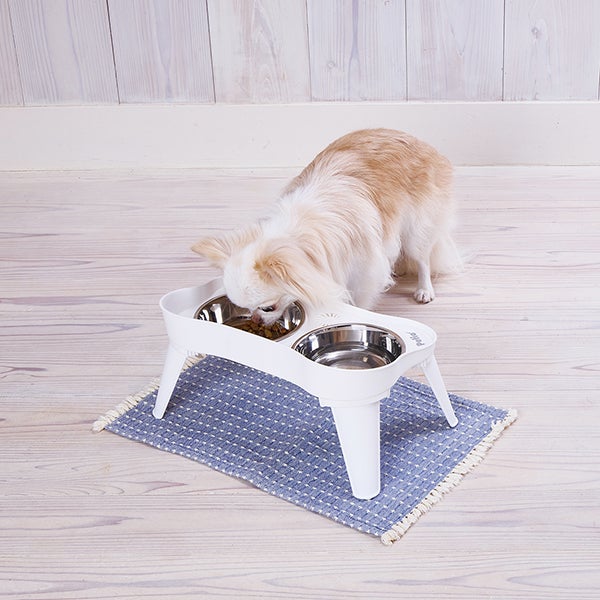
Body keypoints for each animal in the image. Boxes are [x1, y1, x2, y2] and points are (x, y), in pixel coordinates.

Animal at [192, 128, 461, 325]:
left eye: (268, 307)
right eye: (245, 309)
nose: (257, 320)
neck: (298, 232)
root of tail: (419, 141)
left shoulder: (366, 272)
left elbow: (360, 300)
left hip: (418, 228)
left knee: (422, 258)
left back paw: (424, 289)